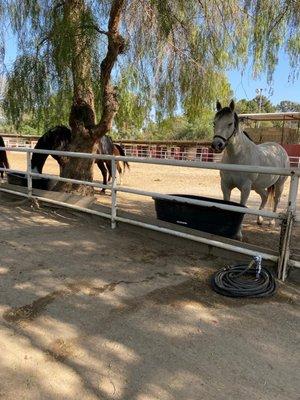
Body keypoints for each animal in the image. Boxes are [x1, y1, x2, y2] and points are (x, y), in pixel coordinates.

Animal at [210, 100, 290, 238]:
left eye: (230, 123)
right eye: (214, 123)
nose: (217, 145)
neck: (238, 156)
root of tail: (279, 148)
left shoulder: (245, 188)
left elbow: (241, 208)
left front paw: (238, 234)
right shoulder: (225, 185)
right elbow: (226, 204)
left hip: (279, 184)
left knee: (276, 200)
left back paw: (271, 222)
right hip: (258, 186)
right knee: (264, 196)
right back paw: (260, 220)